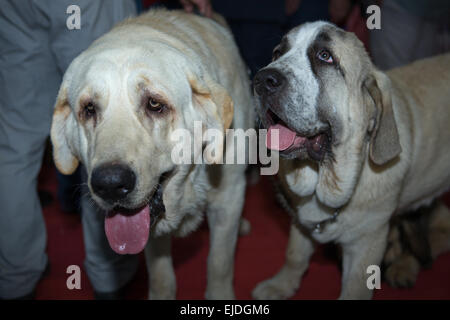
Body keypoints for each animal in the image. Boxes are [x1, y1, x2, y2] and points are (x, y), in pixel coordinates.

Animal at [51, 10, 255, 300]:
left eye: (155, 104)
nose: (110, 184)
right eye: (89, 109)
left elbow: (219, 263)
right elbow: (161, 276)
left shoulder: (229, 197)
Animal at [253, 22, 450, 300]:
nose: (262, 80)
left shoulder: (366, 244)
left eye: (325, 56)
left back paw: (404, 267)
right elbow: (295, 254)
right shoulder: (302, 222)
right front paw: (281, 285)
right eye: (277, 53)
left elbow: (354, 288)